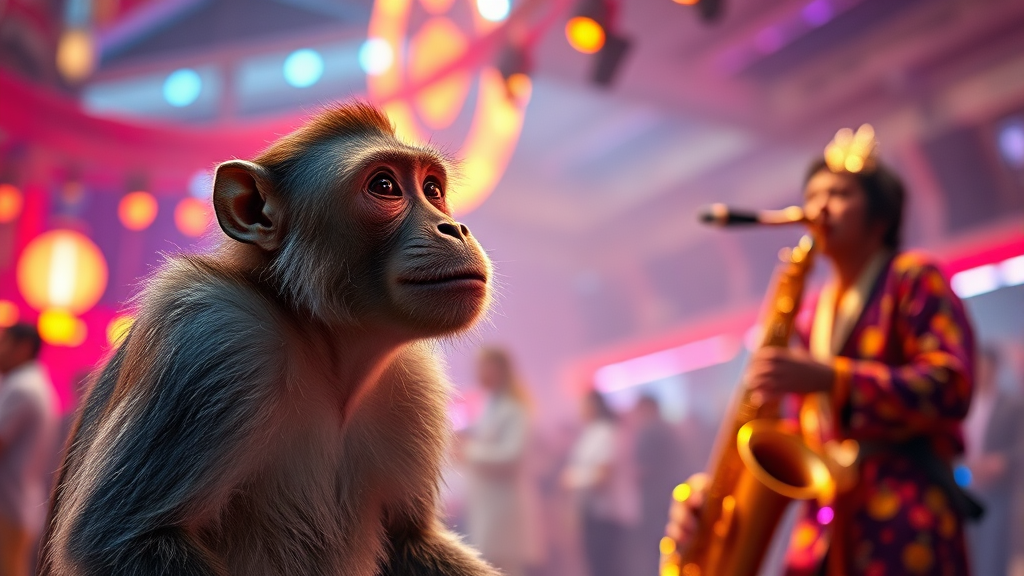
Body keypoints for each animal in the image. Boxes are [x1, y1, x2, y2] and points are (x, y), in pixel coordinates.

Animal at [38, 102, 499, 576]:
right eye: (385, 186)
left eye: (432, 189)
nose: (454, 228)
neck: (324, 348)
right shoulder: (214, 332)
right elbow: (119, 539)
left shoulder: (412, 382)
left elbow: (409, 540)